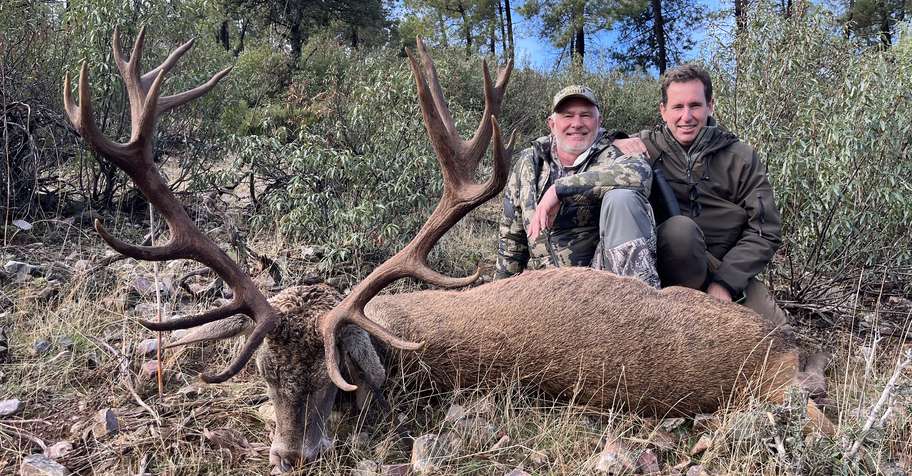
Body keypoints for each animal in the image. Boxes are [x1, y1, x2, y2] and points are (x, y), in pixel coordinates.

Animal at [64, 29, 834, 473]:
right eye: (266, 374)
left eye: (334, 380)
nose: (291, 457)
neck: (397, 343)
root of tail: (784, 348)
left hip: (773, 386)